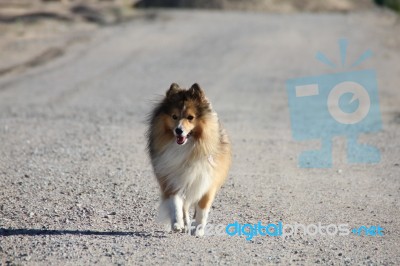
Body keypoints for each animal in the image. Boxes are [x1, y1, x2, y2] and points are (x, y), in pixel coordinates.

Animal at [147, 83, 231, 237]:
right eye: (174, 116)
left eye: (190, 117)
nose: (178, 130)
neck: (188, 147)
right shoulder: (171, 180)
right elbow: (175, 204)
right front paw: (177, 224)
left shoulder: (207, 181)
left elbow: (202, 208)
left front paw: (198, 229)